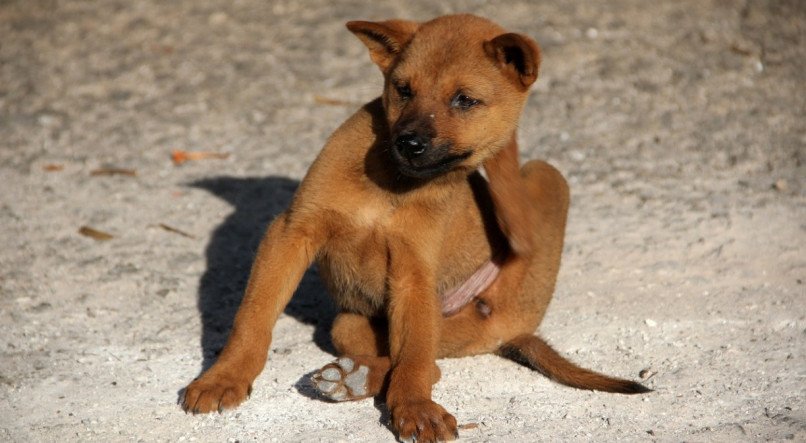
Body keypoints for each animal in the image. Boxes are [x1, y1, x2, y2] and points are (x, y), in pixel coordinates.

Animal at [183, 14, 652, 443]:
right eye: (403, 89)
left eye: (465, 100)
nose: (408, 143)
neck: (392, 184)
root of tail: (516, 329)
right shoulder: (291, 232)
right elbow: (253, 318)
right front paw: (223, 378)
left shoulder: (414, 273)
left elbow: (412, 360)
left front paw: (414, 409)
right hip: (350, 323)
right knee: (417, 359)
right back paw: (350, 376)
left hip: (542, 180)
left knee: (429, 362)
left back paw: (352, 379)